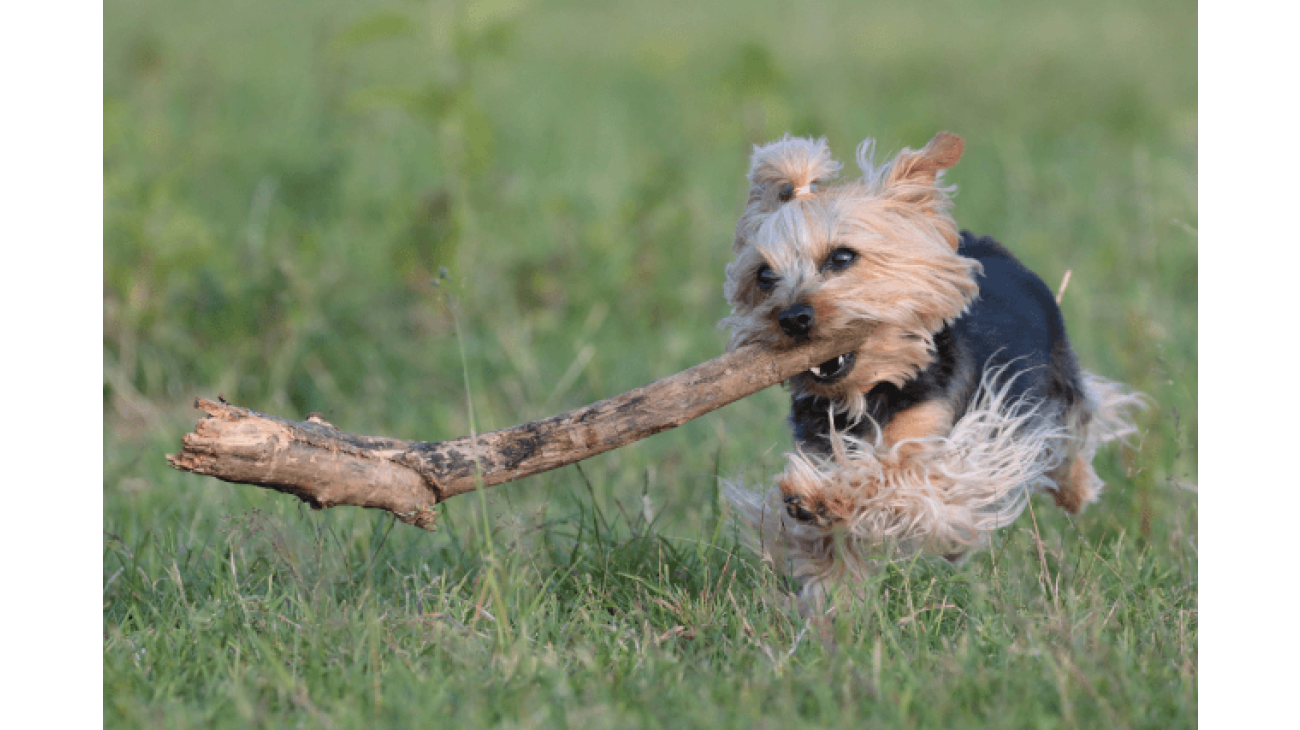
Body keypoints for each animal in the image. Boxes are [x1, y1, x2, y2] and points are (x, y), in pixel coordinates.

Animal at [728, 131, 1144, 602]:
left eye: (842, 257)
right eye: (764, 276)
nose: (792, 317)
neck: (868, 393)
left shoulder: (945, 449)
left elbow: (893, 478)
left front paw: (821, 496)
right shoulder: (818, 441)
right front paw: (833, 594)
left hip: (1057, 377)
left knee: (1073, 431)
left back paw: (1076, 490)